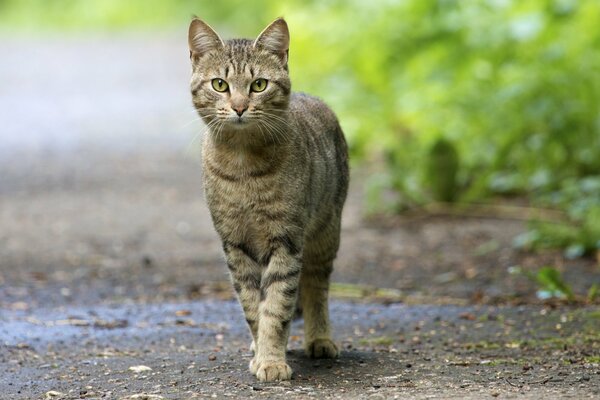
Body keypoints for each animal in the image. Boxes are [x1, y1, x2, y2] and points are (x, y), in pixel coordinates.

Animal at [186, 18, 346, 382]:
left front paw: (271, 359)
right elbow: (252, 305)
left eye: (259, 84)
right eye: (219, 84)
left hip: (325, 234)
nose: (240, 107)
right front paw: (262, 349)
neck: (243, 165)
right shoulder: (235, 244)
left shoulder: (286, 239)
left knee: (316, 287)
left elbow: (277, 304)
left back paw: (319, 338)